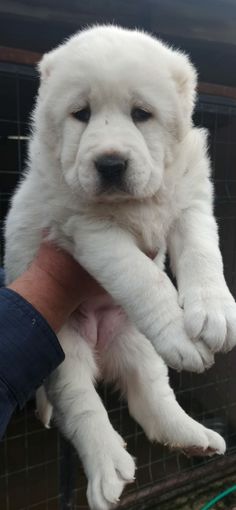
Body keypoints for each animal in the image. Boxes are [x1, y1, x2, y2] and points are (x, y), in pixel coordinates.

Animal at [4, 26, 236, 510]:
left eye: (141, 114)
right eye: (81, 114)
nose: (110, 163)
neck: (136, 202)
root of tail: (96, 341)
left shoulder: (190, 203)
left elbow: (203, 253)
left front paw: (215, 313)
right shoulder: (91, 230)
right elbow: (143, 277)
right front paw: (180, 330)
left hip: (134, 338)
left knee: (151, 396)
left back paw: (194, 436)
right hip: (58, 342)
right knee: (80, 404)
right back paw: (108, 470)